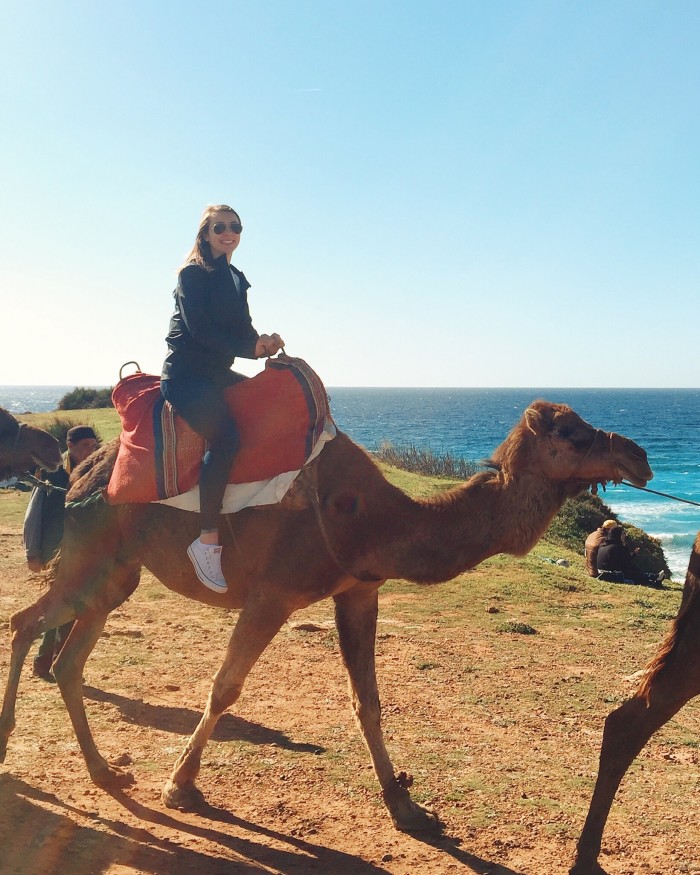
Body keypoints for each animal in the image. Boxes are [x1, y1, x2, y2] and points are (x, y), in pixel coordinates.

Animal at [0, 400, 652, 832]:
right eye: (570, 432)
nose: (638, 454)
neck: (373, 520)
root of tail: (78, 471)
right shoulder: (272, 594)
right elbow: (224, 688)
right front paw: (181, 786)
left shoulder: (359, 591)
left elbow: (368, 700)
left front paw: (403, 801)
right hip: (92, 550)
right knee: (28, 622)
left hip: (117, 571)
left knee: (67, 656)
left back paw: (105, 773)